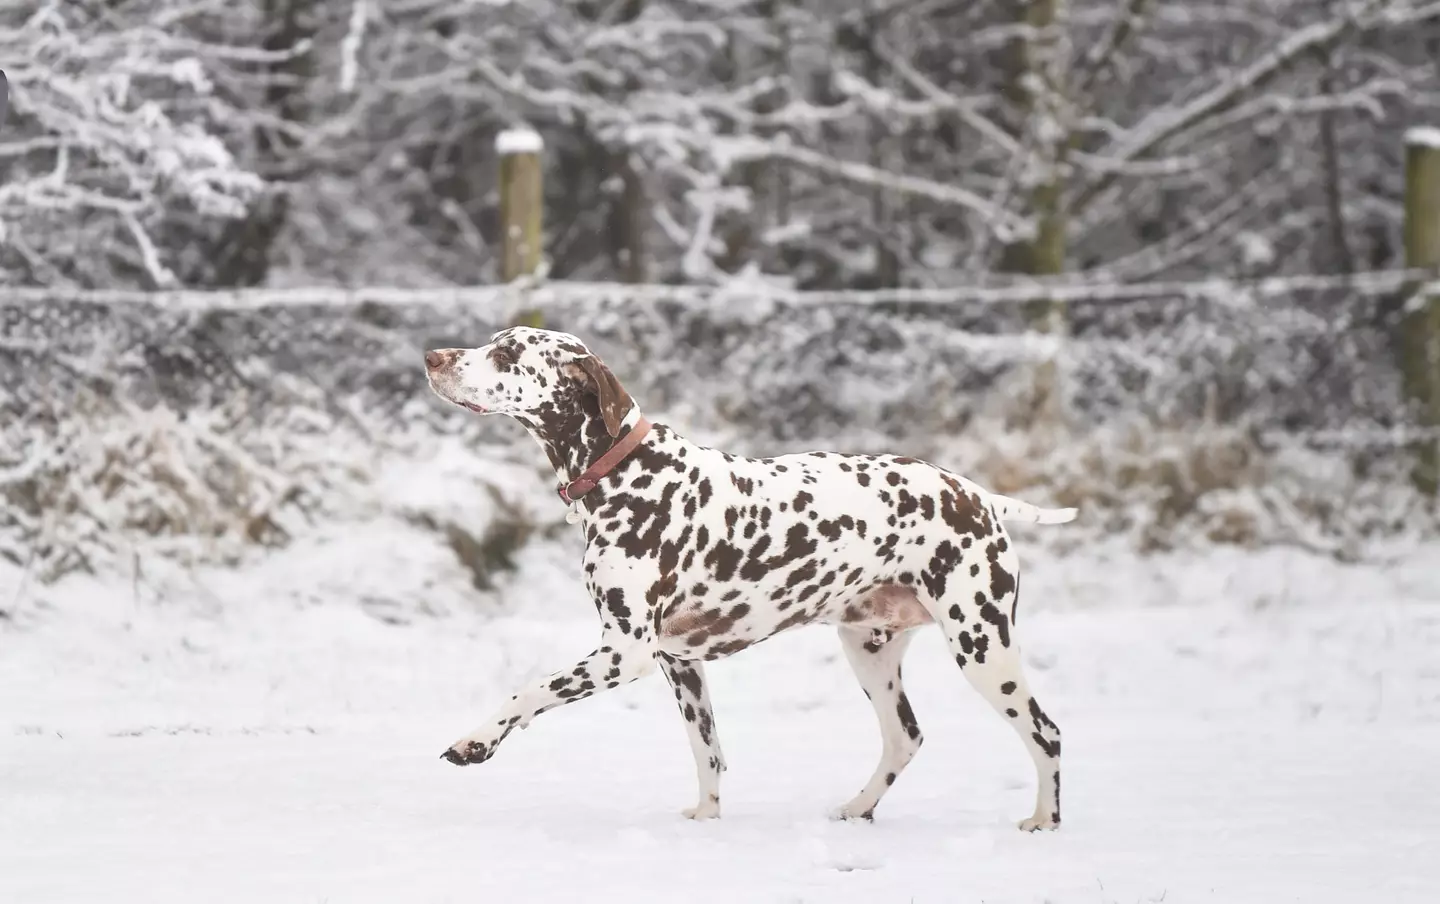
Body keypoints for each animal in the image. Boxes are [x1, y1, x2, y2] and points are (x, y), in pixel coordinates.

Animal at [420, 328, 1077, 829]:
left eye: (509, 352)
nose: (432, 356)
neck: (627, 473)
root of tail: (977, 495)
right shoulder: (679, 664)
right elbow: (708, 752)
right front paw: (707, 820)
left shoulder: (623, 653)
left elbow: (526, 691)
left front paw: (475, 742)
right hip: (871, 653)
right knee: (904, 738)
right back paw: (856, 809)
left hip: (982, 647)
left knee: (1045, 732)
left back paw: (1043, 821)